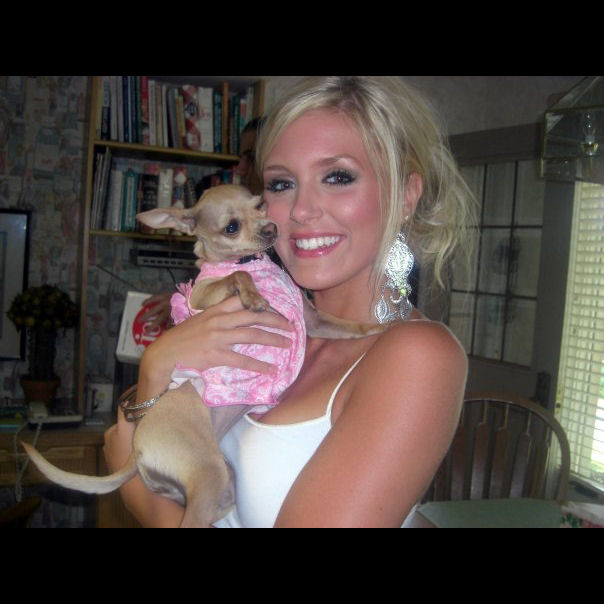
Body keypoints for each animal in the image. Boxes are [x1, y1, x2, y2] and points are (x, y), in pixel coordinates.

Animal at [22, 184, 385, 527]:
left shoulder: (313, 321)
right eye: (231, 227)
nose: (270, 228)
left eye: (261, 205)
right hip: (210, 473)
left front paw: (381, 328)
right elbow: (239, 275)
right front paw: (252, 295)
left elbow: (348, 326)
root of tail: (136, 449)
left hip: (214, 485)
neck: (253, 261)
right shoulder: (202, 295)